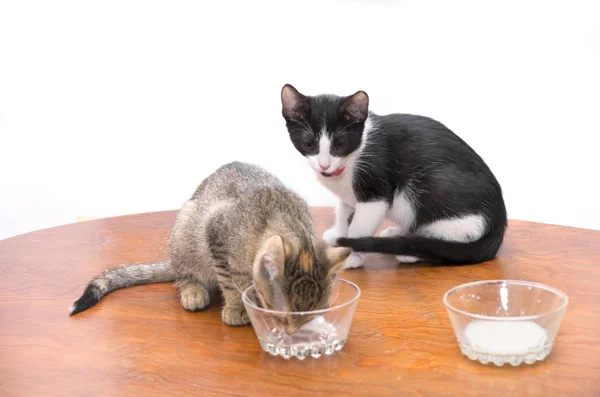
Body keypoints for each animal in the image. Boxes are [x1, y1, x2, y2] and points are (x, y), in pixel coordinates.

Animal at [280, 84, 506, 268]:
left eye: (340, 144)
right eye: (309, 144)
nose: (324, 164)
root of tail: (498, 224)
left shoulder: (375, 191)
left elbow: (359, 227)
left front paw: (352, 254)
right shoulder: (348, 197)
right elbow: (343, 213)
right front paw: (339, 233)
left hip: (436, 187)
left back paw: (412, 250)